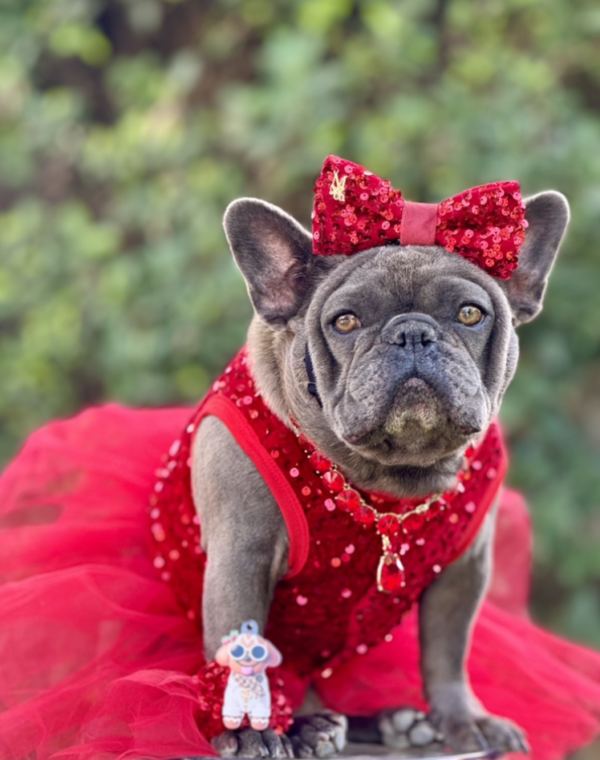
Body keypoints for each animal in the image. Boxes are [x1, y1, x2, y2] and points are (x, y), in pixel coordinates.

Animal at [190, 186, 568, 760]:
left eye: (470, 314)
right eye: (345, 321)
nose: (412, 333)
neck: (389, 478)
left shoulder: (466, 568)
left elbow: (448, 651)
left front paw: (464, 720)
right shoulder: (240, 557)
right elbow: (240, 641)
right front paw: (252, 733)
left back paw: (394, 724)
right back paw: (309, 728)